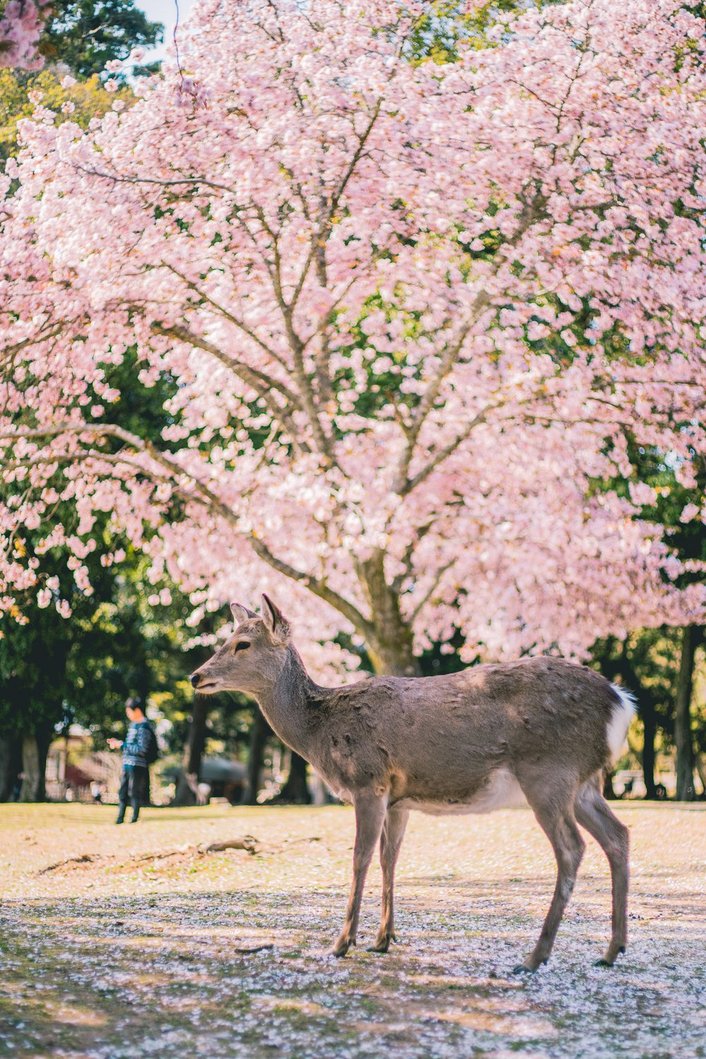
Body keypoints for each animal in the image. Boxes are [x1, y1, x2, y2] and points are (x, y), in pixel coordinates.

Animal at [191, 593, 635, 970]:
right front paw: (382, 939)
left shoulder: (367, 781)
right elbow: (390, 858)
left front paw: (341, 943)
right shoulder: (398, 798)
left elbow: (359, 858)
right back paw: (612, 950)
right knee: (618, 835)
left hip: (548, 771)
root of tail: (620, 701)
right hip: (584, 782)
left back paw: (535, 956)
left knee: (572, 848)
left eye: (242, 644)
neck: (321, 736)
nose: (196, 676)